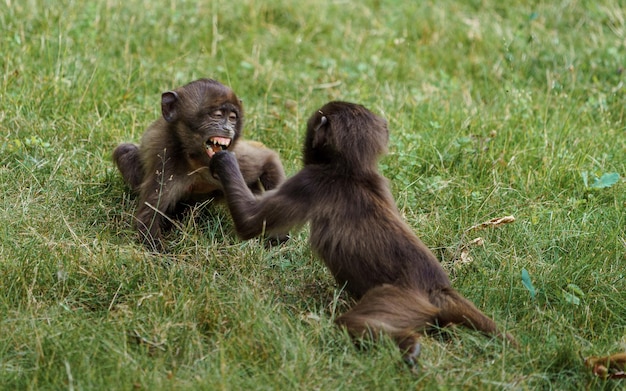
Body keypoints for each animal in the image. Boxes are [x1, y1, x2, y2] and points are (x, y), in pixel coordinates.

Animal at [112, 79, 286, 251]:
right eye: (217, 115)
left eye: (232, 118)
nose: (227, 128)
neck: (197, 161)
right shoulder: (166, 159)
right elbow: (147, 220)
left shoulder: (237, 158)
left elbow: (268, 160)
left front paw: (277, 237)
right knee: (124, 151)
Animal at [207, 100, 516, 364]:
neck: (352, 171)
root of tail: (437, 287)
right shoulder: (380, 183)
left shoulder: (311, 181)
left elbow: (249, 222)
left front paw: (224, 160)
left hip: (399, 300)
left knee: (352, 323)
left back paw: (407, 345)